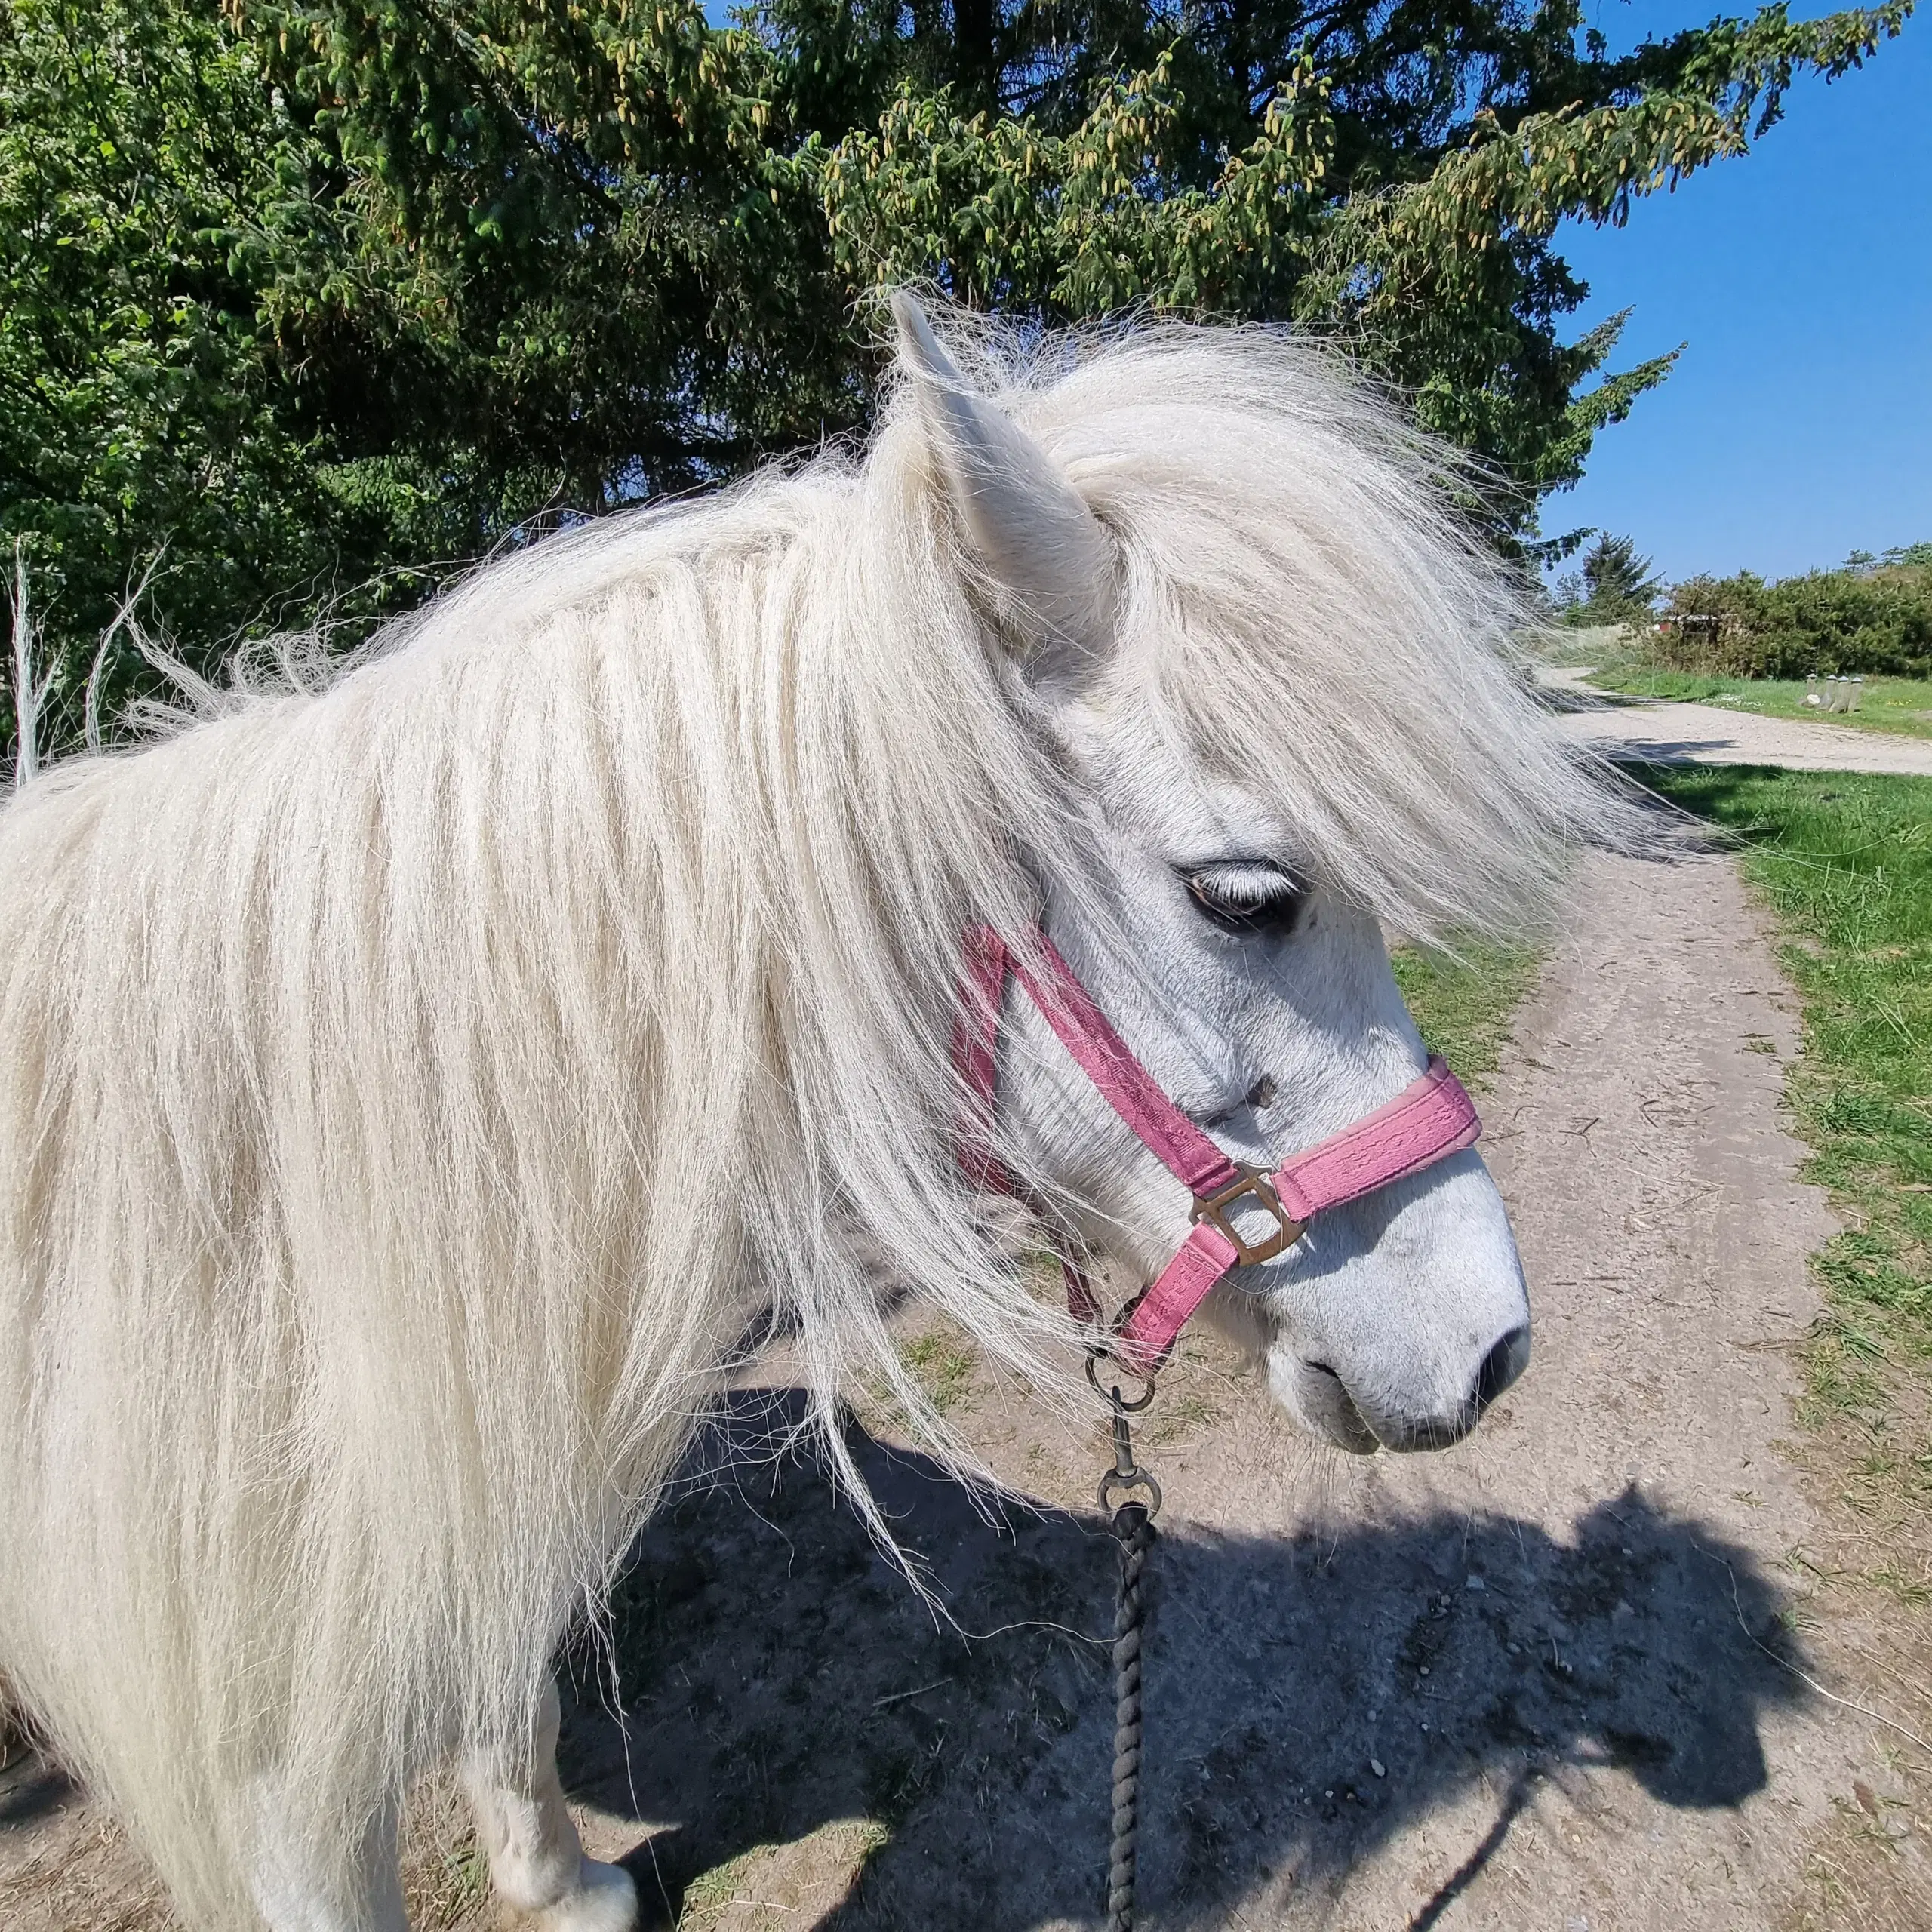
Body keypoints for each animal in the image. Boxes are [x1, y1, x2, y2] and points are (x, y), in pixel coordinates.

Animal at [0, 294, 1630, 1924]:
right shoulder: (270, 1786)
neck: (278, 1199)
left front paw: (559, 1882)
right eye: (1246, 895)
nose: (1493, 1349)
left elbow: (508, 1680)